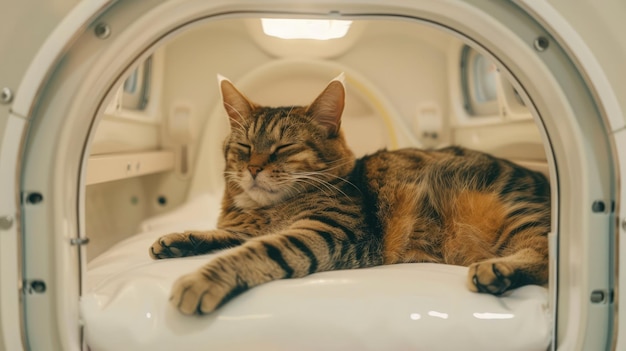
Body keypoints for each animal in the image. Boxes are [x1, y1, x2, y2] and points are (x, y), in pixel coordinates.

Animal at [149, 74, 548, 316]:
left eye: (284, 148)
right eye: (245, 147)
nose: (254, 168)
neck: (267, 211)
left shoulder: (328, 230)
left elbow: (257, 250)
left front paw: (203, 280)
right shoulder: (246, 228)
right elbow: (218, 234)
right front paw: (177, 240)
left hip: (516, 212)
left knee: (545, 258)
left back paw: (497, 270)